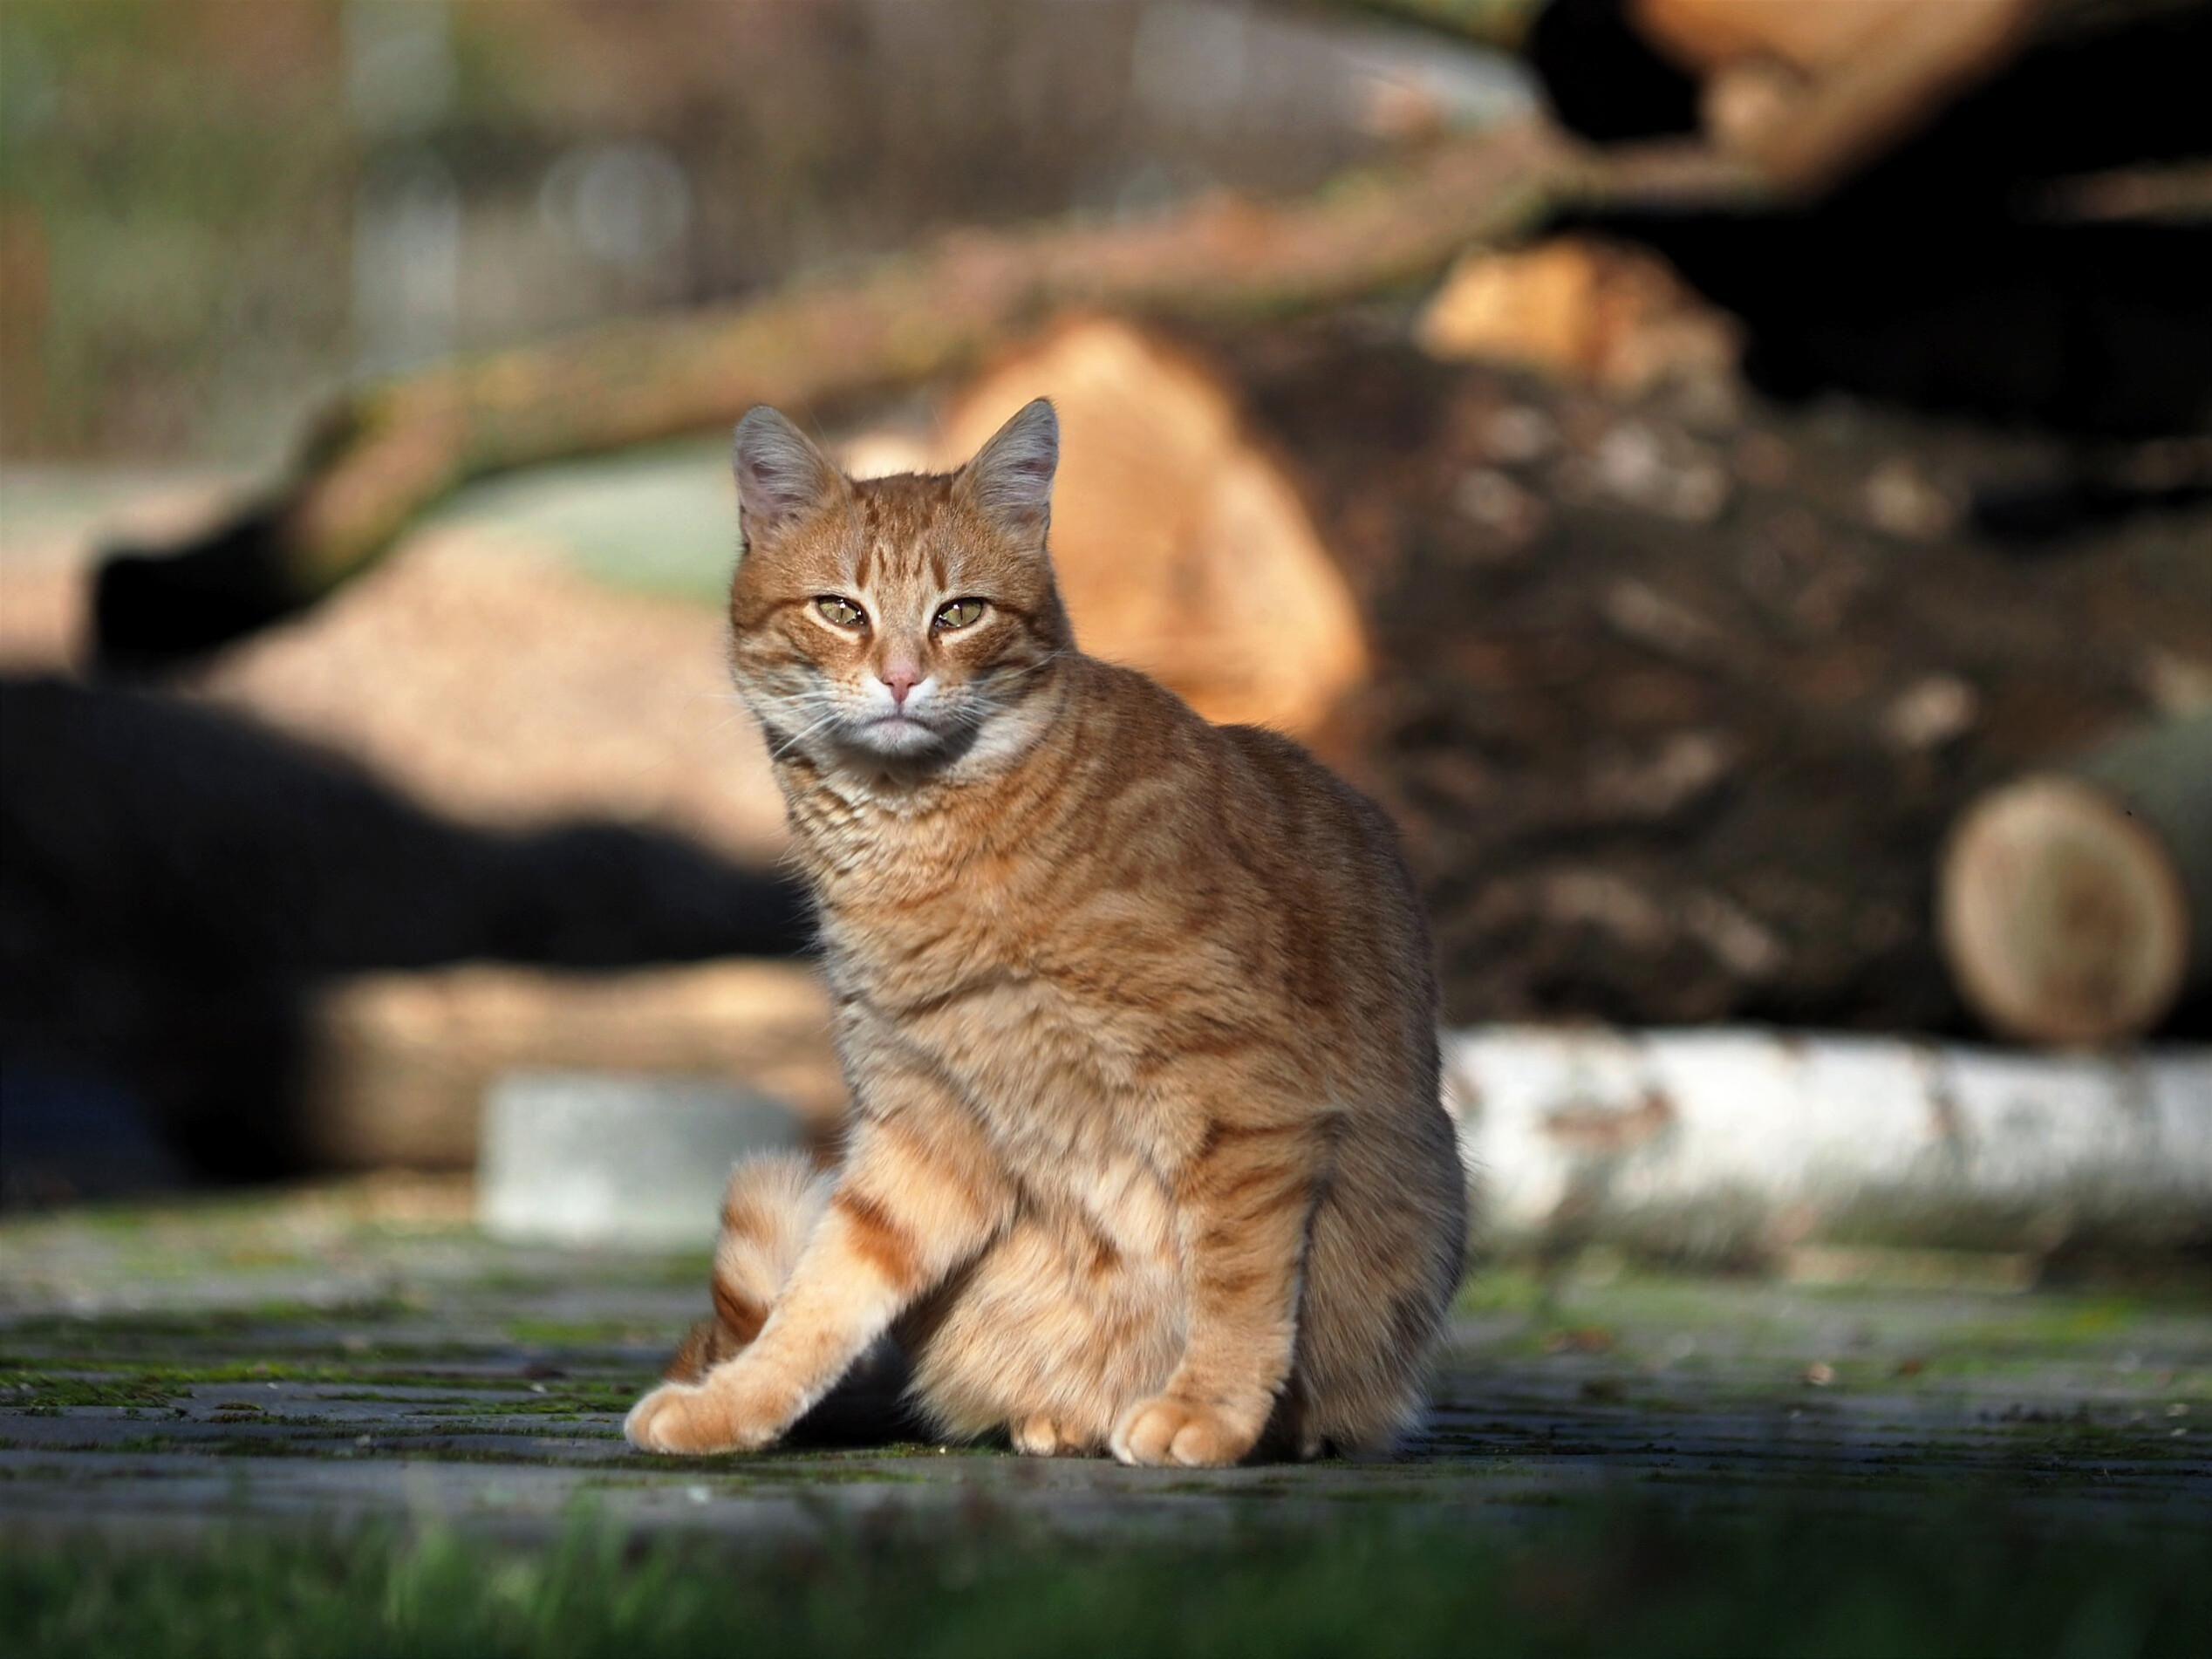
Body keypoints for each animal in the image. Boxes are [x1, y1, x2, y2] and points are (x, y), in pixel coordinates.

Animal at [625, 398, 1466, 1466]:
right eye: (842, 610)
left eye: (959, 613)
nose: (901, 679)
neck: (926, 850)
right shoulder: (924, 1124)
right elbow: (823, 1292)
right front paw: (735, 1403)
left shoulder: (1244, 1094)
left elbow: (1236, 1283)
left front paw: (1208, 1409)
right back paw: (1060, 1417)